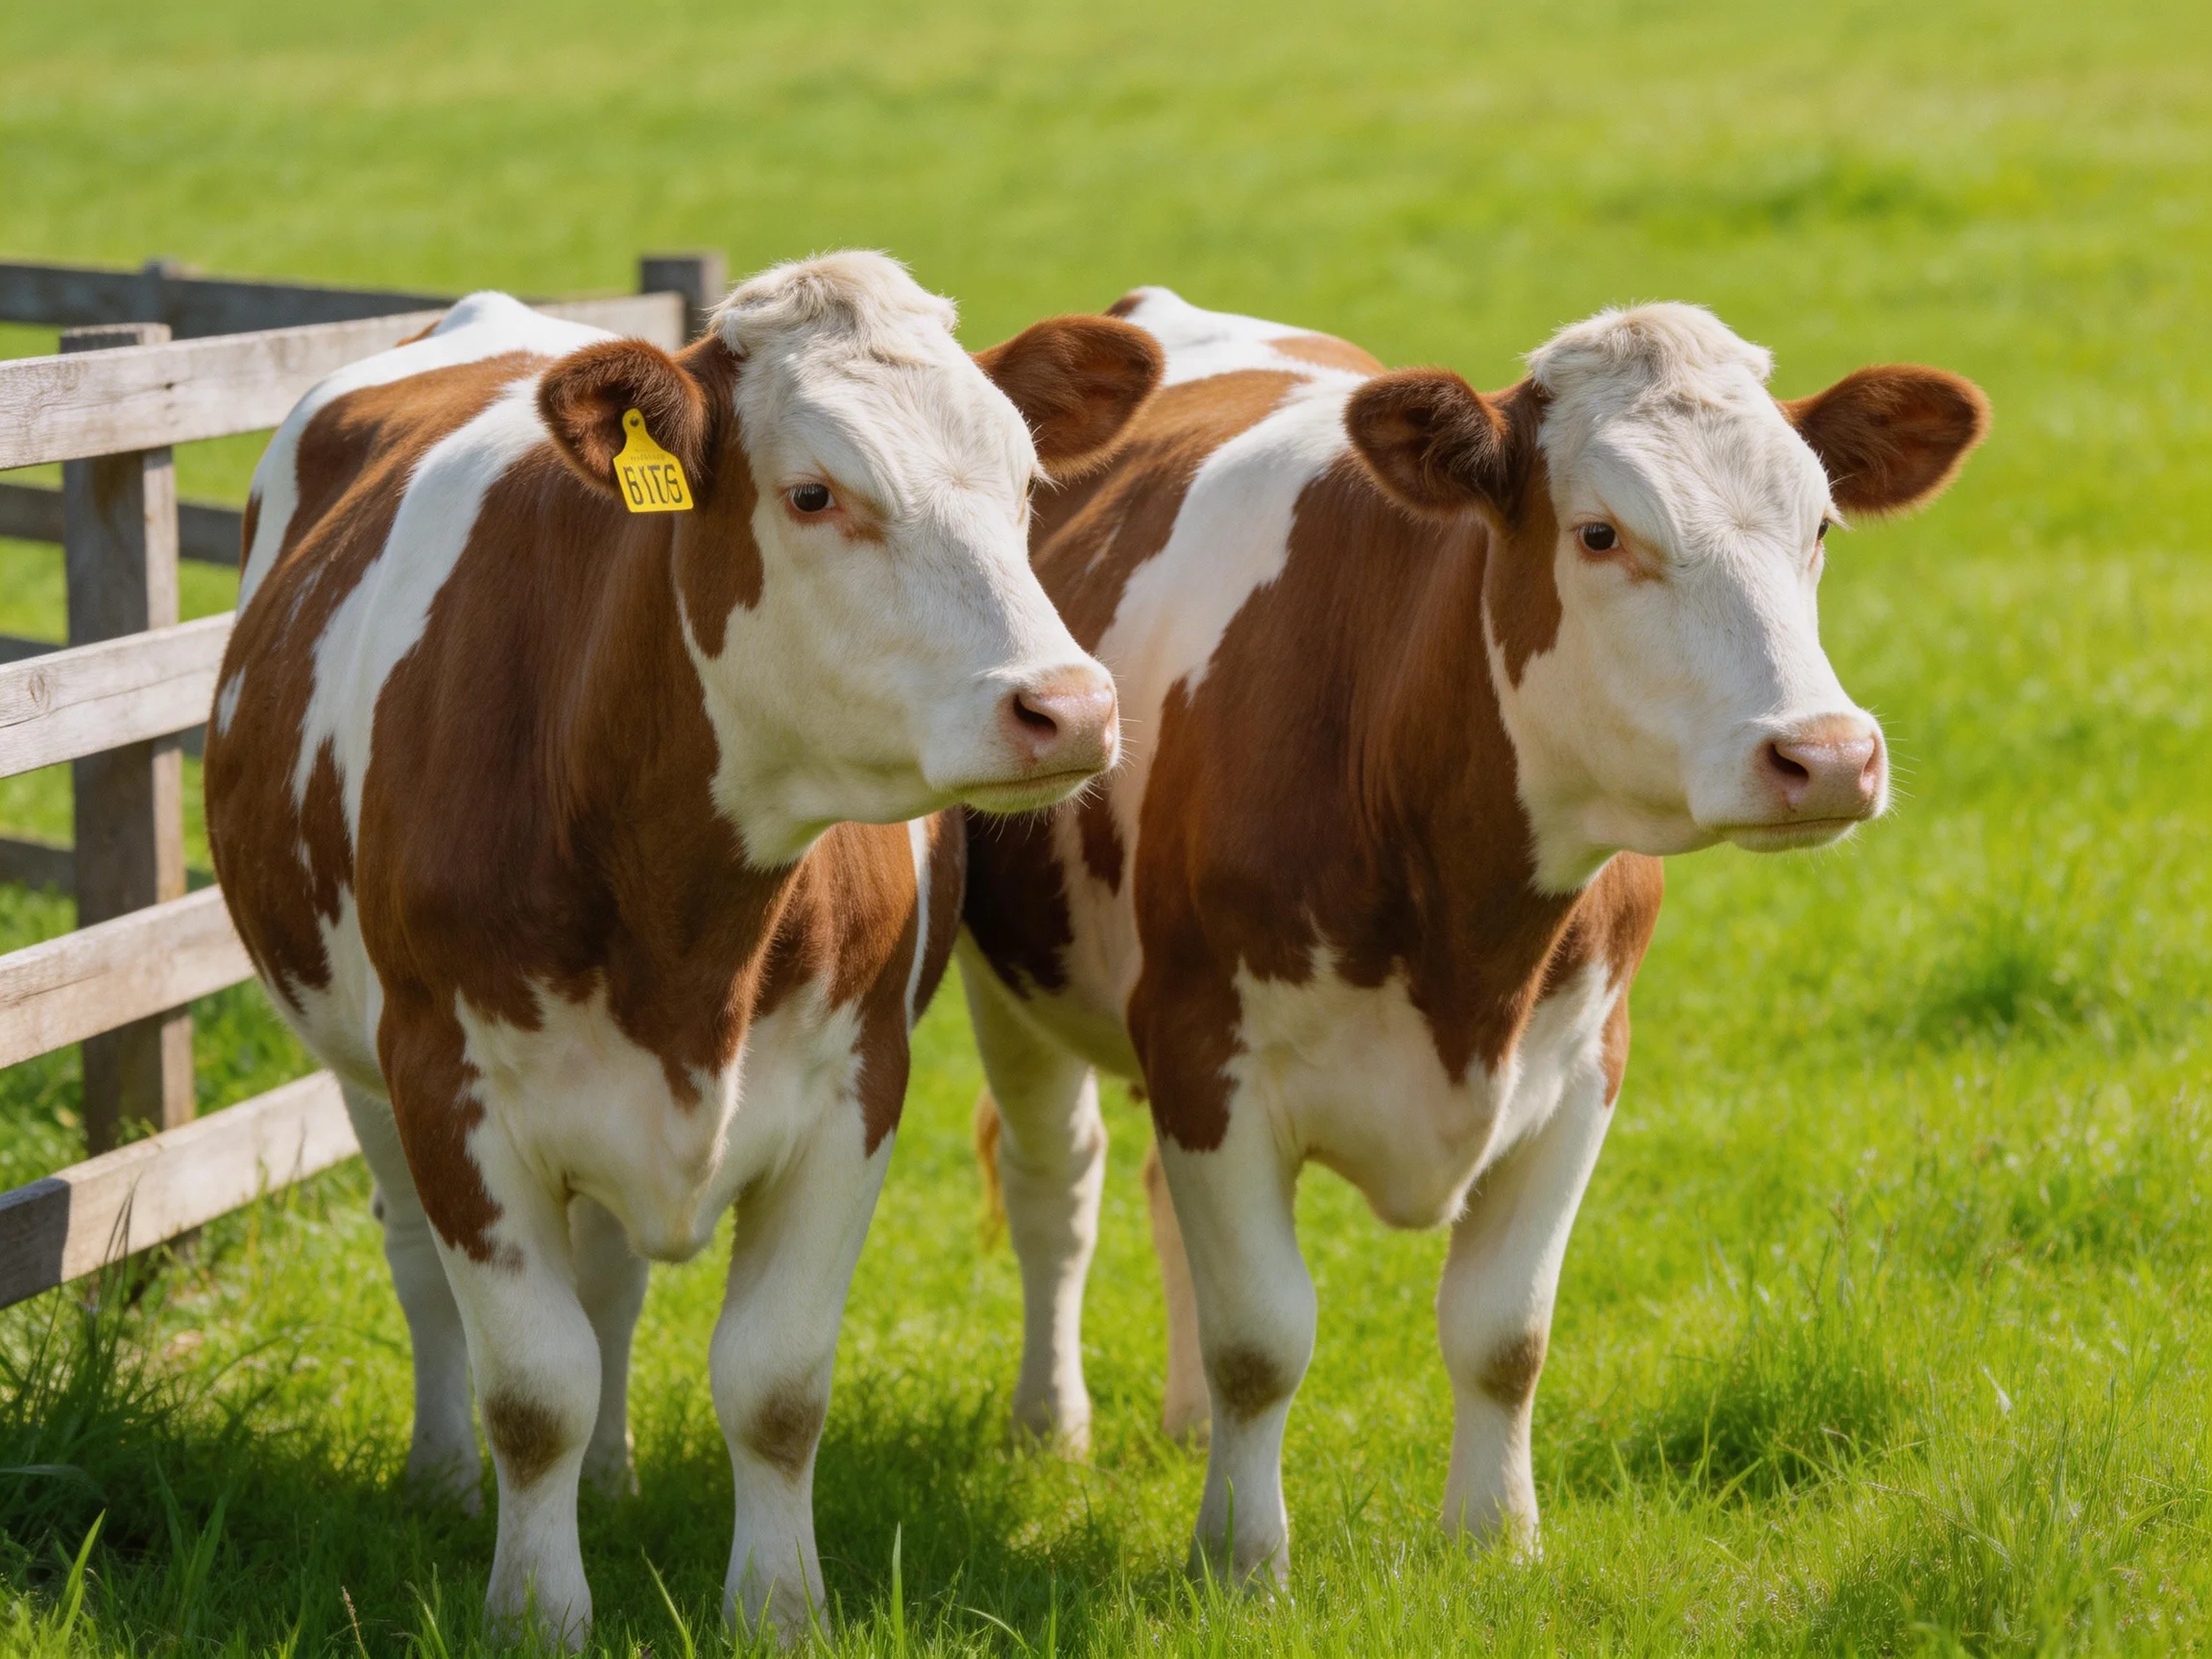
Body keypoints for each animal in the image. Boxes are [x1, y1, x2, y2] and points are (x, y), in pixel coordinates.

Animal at [202, 252, 1162, 1646]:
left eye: (1029, 485)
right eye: (814, 492)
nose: (1071, 707)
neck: (684, 919)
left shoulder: (854, 1089)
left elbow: (773, 1383)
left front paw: (777, 1610)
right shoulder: (449, 1082)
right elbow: (533, 1388)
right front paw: (534, 1614)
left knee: (608, 1282)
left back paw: (612, 1477)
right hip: (357, 1060)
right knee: (422, 1267)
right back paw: (441, 1479)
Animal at [961, 289, 1988, 1583]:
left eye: (1819, 525)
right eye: (1599, 534)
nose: (1829, 755)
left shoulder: (1585, 1065)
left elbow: (1505, 1333)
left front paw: (1496, 1539)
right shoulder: (1206, 1055)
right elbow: (1264, 1338)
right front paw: (1241, 1560)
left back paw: (1185, 1420)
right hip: (1014, 986)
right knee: (1058, 1185)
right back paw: (1050, 1426)